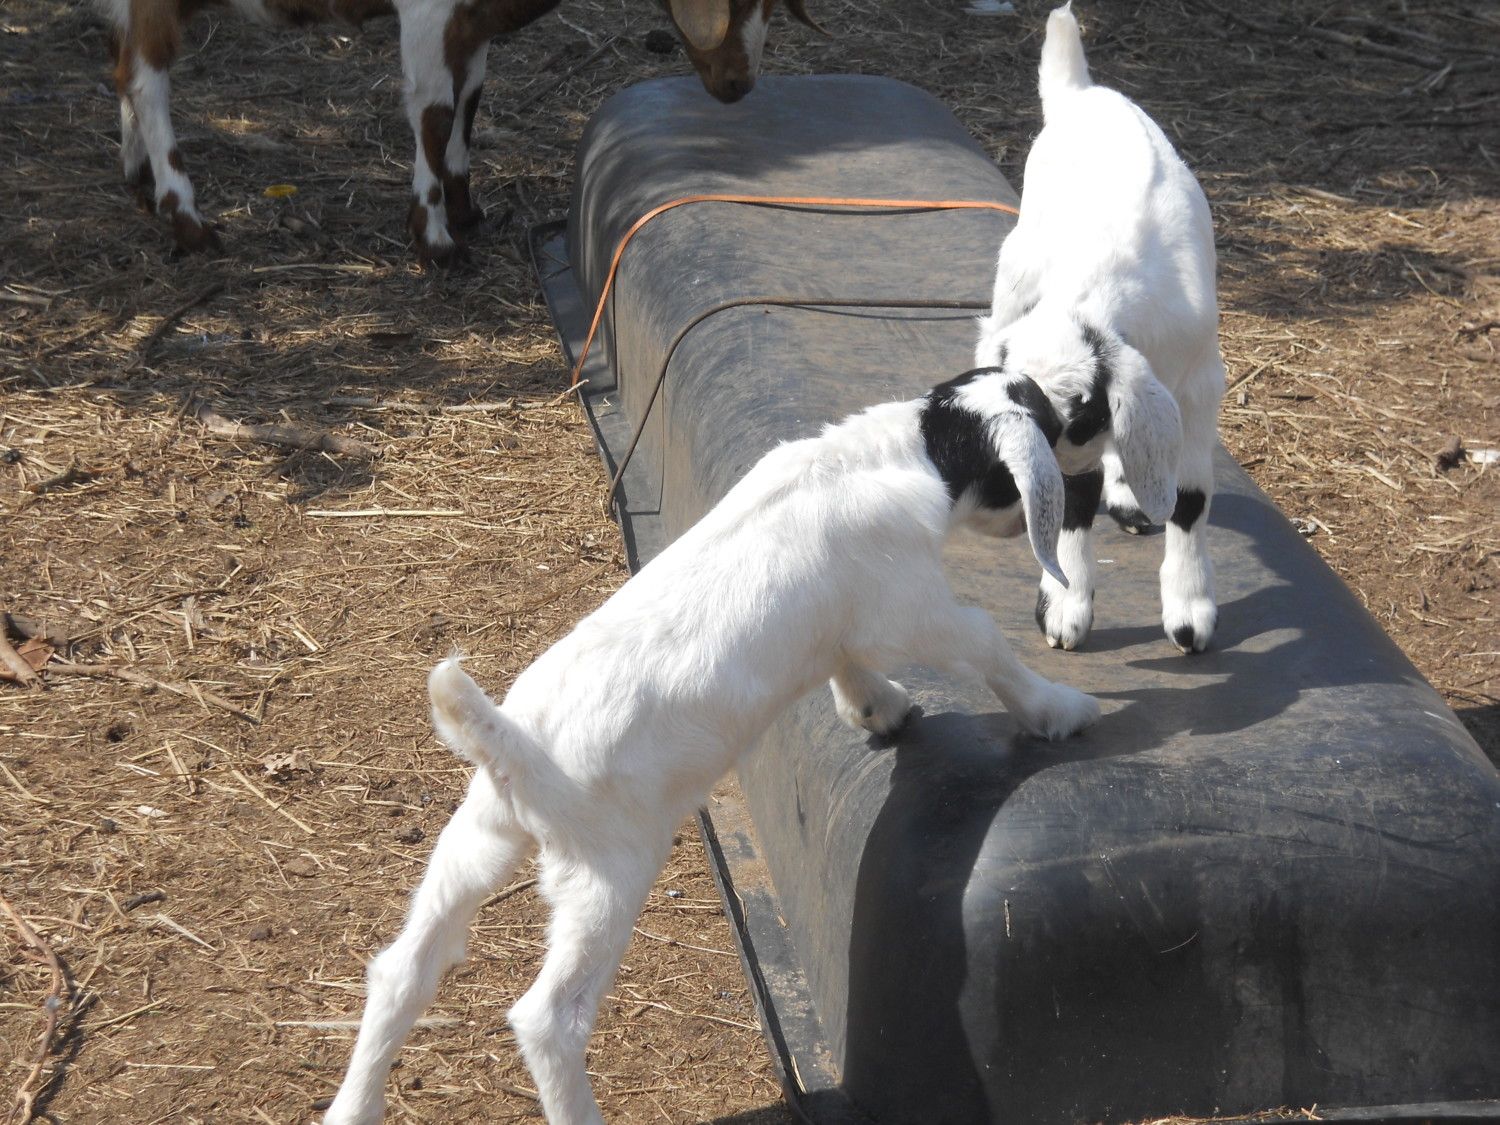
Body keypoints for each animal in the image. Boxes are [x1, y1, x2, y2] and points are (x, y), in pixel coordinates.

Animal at [96, 0, 823, 261]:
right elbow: (434, 107)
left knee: (124, 60)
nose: (740, 85)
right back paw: (186, 217)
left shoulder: (472, 22)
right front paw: (435, 236)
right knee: (146, 73)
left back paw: (138, 175)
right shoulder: (431, 11)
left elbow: (469, 101)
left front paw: (466, 207)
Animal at [321, 366, 1100, 1125]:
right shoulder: (911, 606)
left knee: (403, 970)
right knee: (549, 1018)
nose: (1083, 482)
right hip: (607, 871)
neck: (898, 449)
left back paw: (353, 1106)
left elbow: (841, 657)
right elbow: (983, 640)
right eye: (1047, 428)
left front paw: (879, 708)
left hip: (479, 837)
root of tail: (511, 743)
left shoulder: (842, 623)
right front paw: (1060, 709)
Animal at [972, 2, 1227, 655]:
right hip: (1013, 273)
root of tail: (1081, 92)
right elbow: (1076, 497)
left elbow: (1190, 495)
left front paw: (1189, 613)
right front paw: (1066, 608)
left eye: (1078, 414)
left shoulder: (1198, 386)